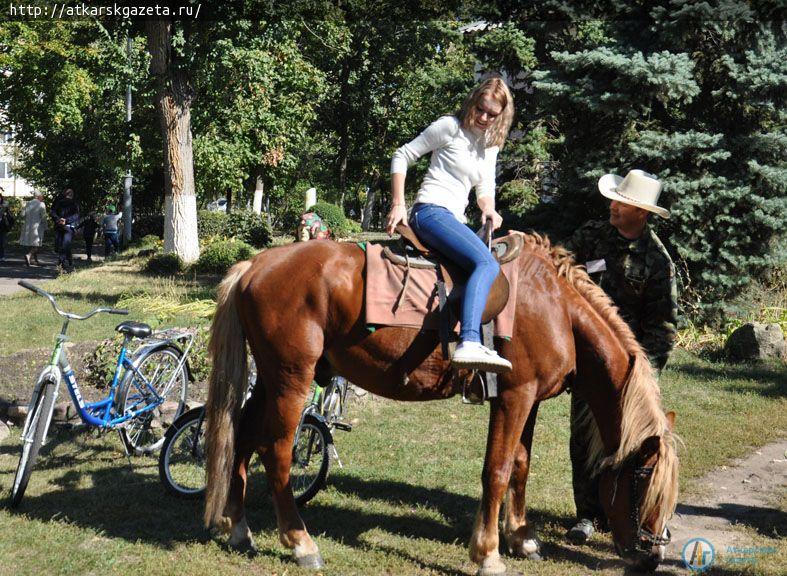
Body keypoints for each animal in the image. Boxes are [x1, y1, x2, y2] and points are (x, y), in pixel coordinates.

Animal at [202, 235, 676, 576]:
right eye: (643, 479)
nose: (652, 556)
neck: (556, 308)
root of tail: (255, 265)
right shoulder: (514, 396)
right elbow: (497, 470)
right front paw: (488, 554)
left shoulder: (531, 399)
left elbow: (520, 466)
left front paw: (522, 538)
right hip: (291, 379)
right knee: (277, 452)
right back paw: (301, 543)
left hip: (270, 378)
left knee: (242, 439)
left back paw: (238, 529)